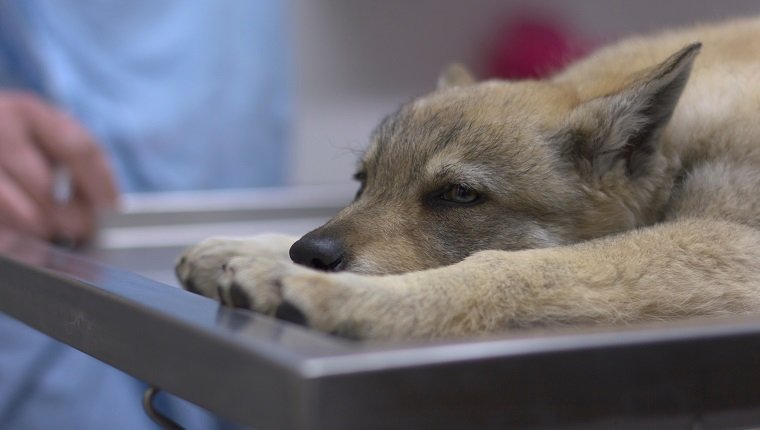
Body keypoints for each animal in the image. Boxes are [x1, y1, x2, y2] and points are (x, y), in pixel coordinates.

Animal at [175, 15, 760, 340]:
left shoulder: (729, 245)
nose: (310, 256)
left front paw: (335, 294)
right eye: (363, 179)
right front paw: (255, 251)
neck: (680, 147)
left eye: (458, 195)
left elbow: (505, 270)